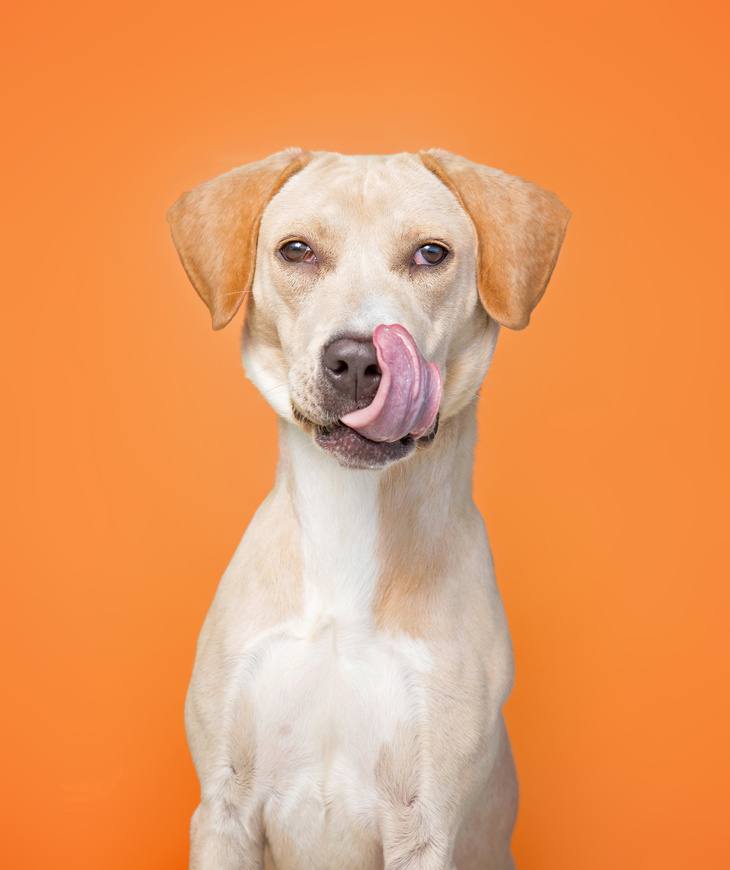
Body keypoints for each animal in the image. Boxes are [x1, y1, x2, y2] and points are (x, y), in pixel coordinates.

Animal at [166, 150, 568, 870]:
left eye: (431, 253)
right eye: (296, 250)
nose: (357, 359)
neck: (346, 528)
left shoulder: (425, 826)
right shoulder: (222, 811)